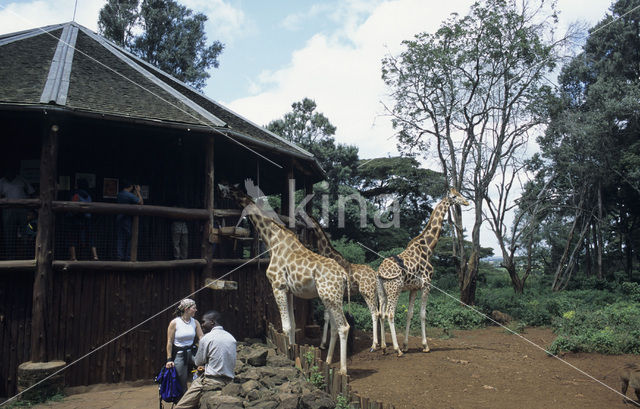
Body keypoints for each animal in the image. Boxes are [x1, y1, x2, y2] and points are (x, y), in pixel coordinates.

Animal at [219, 183, 350, 374]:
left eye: (228, 188)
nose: (220, 189)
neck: (273, 240)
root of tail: (343, 275)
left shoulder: (277, 286)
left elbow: (285, 326)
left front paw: (288, 355)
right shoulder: (288, 291)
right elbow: (293, 325)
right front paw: (293, 352)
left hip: (330, 295)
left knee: (343, 327)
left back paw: (343, 370)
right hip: (331, 297)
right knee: (335, 327)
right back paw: (327, 361)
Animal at [304, 214, 384, 350]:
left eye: (309, 229)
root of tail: (375, 274)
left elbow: (329, 317)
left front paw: (325, 343)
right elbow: (327, 316)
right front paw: (324, 344)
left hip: (367, 292)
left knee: (374, 313)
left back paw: (374, 345)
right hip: (373, 293)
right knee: (378, 312)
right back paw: (380, 343)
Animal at [376, 187, 470, 354]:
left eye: (460, 193)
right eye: (454, 196)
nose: (466, 202)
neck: (428, 248)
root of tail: (380, 272)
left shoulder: (414, 288)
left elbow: (410, 314)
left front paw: (406, 345)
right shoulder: (426, 285)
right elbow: (423, 314)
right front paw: (425, 345)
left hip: (382, 291)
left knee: (381, 313)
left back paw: (384, 347)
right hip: (395, 289)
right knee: (389, 314)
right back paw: (397, 350)